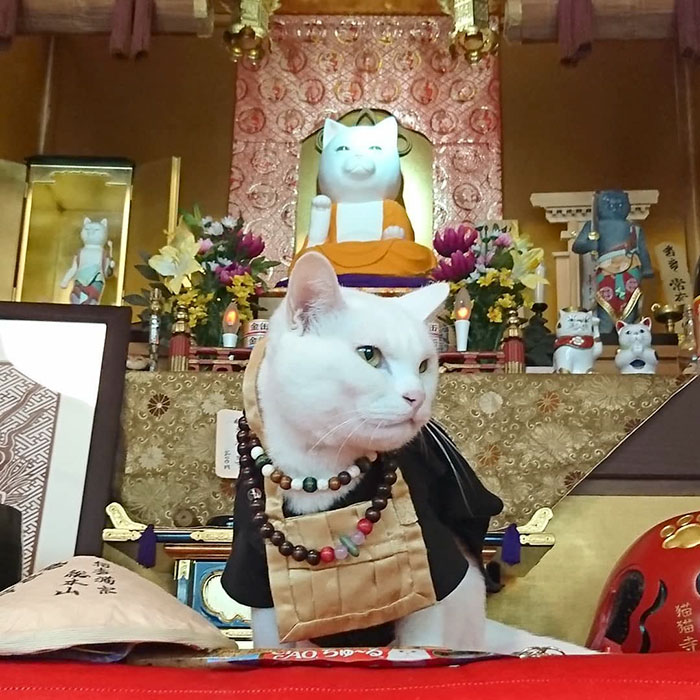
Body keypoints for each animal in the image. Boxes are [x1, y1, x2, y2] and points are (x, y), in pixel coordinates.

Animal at [232, 253, 592, 656]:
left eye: (423, 366)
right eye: (369, 355)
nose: (417, 397)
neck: (321, 466)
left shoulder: (436, 574)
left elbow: (423, 644)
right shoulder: (258, 586)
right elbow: (271, 646)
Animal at [308, 115, 410, 246]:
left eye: (375, 148)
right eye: (342, 149)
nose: (359, 155)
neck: (359, 201)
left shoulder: (396, 208)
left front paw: (394, 233)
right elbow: (312, 245)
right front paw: (321, 206)